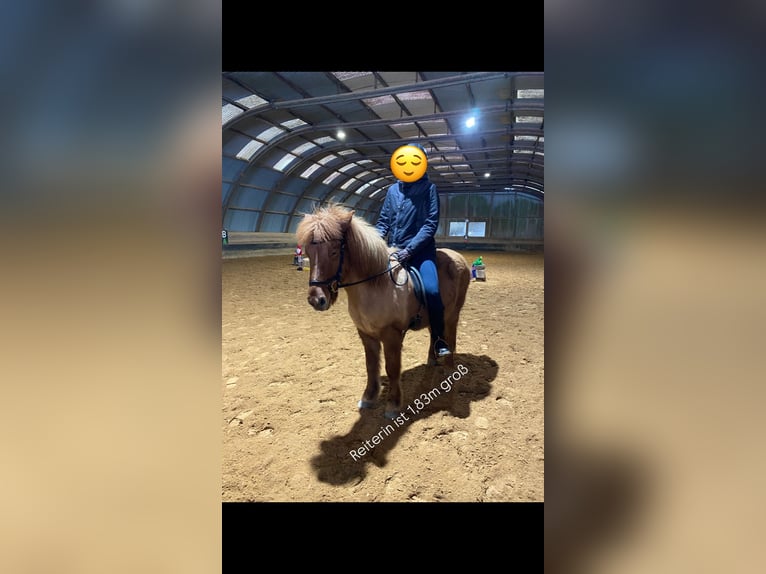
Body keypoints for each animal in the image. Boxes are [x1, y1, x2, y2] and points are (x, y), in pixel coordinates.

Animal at [296, 204, 471, 419]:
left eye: (335, 252)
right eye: (309, 252)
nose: (316, 300)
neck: (376, 284)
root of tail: (458, 257)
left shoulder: (391, 335)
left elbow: (392, 368)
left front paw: (393, 405)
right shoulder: (365, 334)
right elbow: (371, 366)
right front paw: (368, 398)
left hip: (452, 315)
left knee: (451, 338)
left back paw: (449, 369)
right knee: (434, 333)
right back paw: (432, 359)